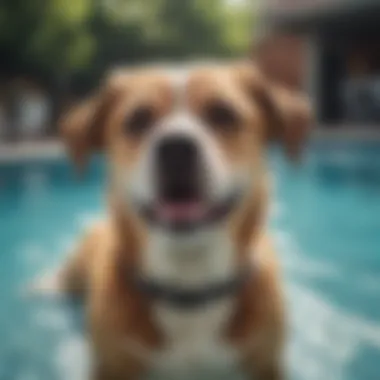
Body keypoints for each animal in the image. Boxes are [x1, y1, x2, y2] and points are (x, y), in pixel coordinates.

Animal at [46, 60, 310, 378]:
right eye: (137, 120)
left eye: (223, 113)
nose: (176, 148)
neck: (189, 287)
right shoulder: (112, 364)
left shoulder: (265, 363)